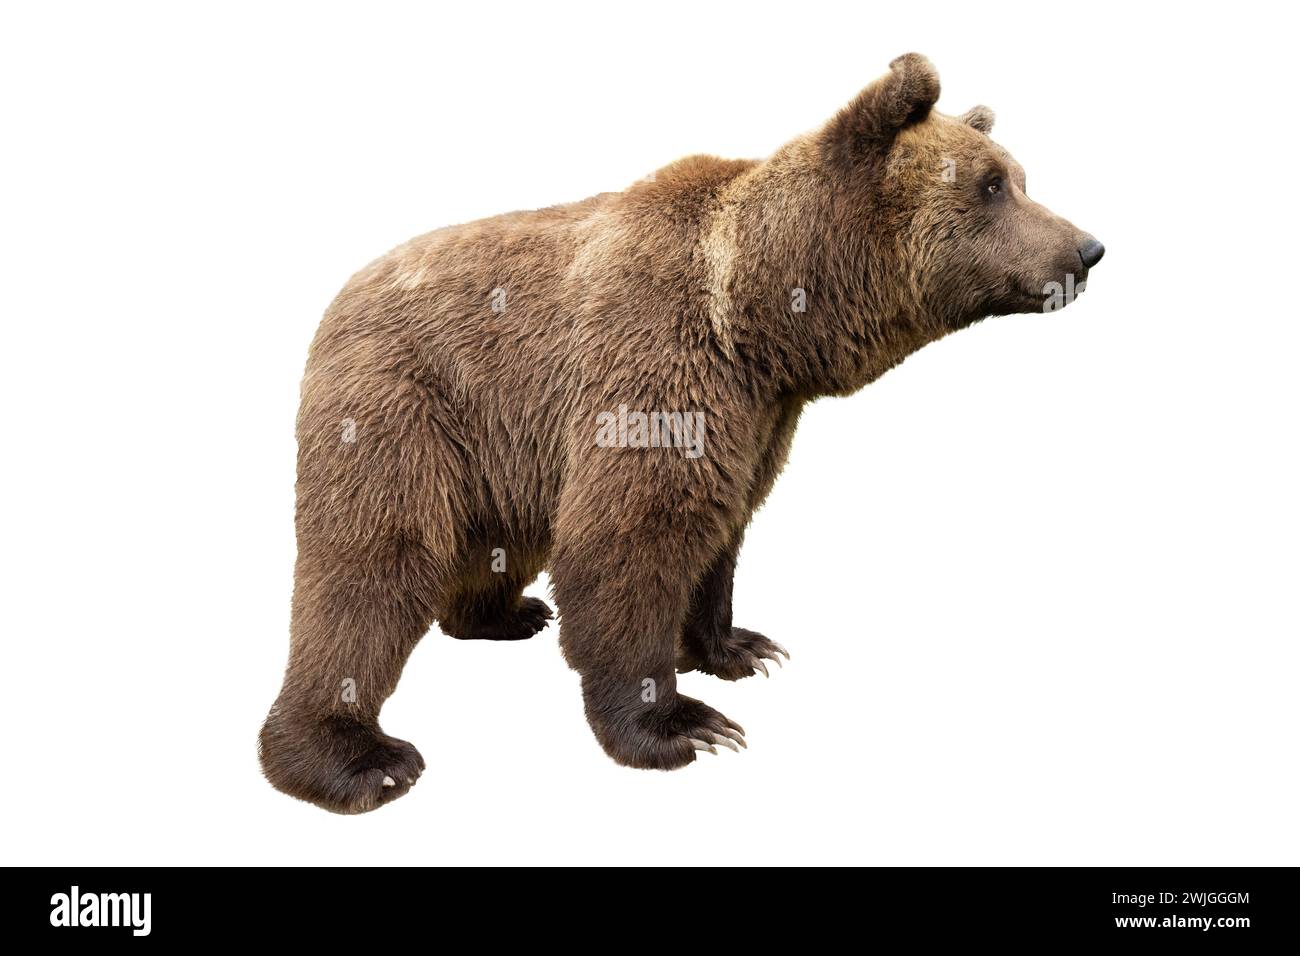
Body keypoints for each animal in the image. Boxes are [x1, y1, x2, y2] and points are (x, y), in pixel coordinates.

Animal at [259, 53, 1103, 813]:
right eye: (993, 185)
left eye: (1020, 177)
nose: (1087, 248)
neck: (767, 321)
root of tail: (341, 293)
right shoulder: (657, 367)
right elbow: (630, 539)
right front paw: (680, 725)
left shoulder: (755, 415)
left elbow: (720, 528)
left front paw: (741, 648)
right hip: (407, 404)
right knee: (373, 565)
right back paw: (354, 757)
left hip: (500, 446)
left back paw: (506, 613)